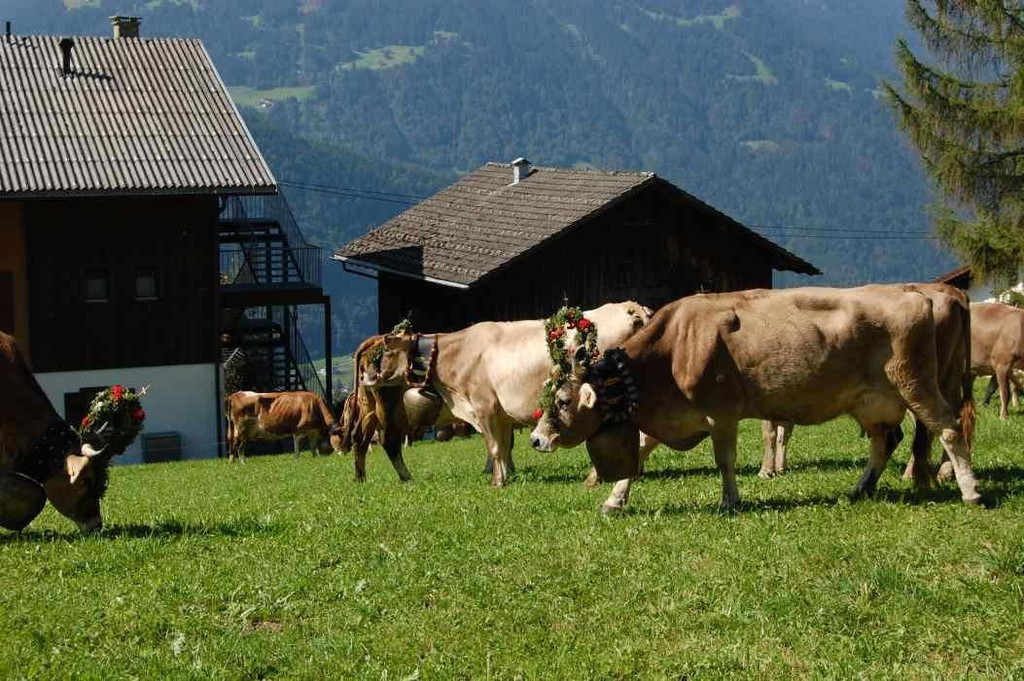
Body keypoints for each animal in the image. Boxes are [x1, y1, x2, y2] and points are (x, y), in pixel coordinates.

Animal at [360, 302, 660, 508]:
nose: (366, 376)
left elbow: (494, 447)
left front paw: (497, 482)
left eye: (385, 352)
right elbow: (503, 448)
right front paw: (505, 476)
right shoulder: (501, 414)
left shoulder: (484, 407)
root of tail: (630, 308)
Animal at [529, 286, 982, 511]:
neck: (672, 350)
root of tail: (918, 295)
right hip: (873, 402)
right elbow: (638, 455)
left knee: (948, 429)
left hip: (917, 383)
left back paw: (971, 490)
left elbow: (725, 460)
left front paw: (730, 500)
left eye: (563, 401)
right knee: (884, 442)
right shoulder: (669, 415)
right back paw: (860, 488)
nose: (535, 439)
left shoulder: (721, 412)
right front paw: (615, 499)